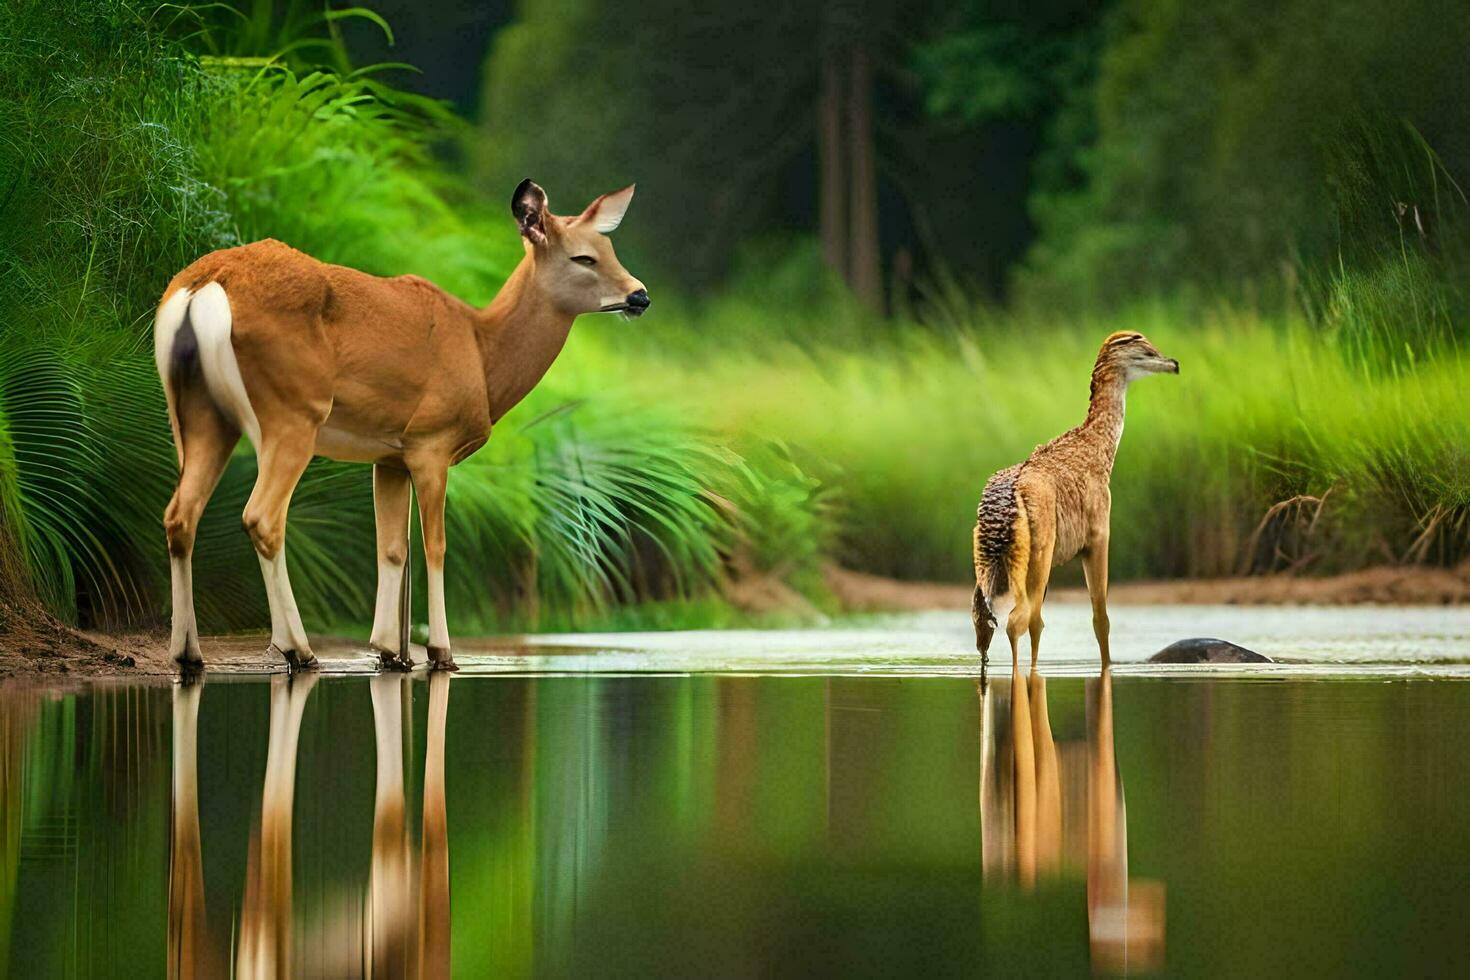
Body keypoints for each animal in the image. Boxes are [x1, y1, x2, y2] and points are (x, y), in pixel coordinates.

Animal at [153, 179, 649, 669]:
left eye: (610, 247)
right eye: (583, 257)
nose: (640, 295)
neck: (483, 355)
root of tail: (204, 287)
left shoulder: (388, 455)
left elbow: (391, 548)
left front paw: (389, 650)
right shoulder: (432, 441)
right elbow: (435, 544)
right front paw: (441, 652)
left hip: (197, 412)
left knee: (180, 513)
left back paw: (188, 652)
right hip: (292, 411)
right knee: (262, 516)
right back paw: (298, 648)